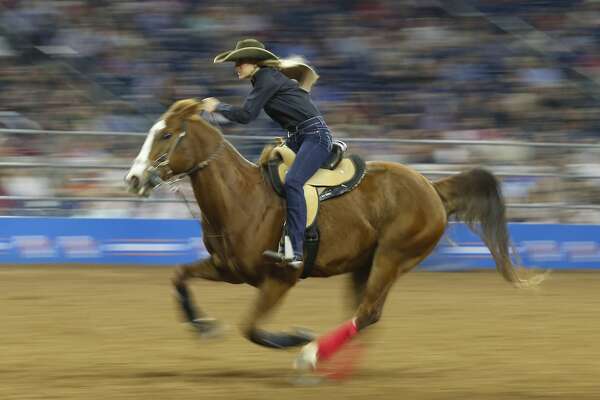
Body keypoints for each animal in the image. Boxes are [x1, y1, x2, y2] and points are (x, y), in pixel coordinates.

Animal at [125, 98, 544, 374]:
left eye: (166, 134)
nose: (133, 179)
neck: (243, 198)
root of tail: (433, 188)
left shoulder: (280, 279)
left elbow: (251, 328)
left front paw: (296, 337)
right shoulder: (226, 269)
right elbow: (179, 276)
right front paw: (203, 325)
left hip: (392, 257)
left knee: (368, 312)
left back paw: (313, 355)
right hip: (365, 264)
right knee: (364, 315)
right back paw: (335, 366)